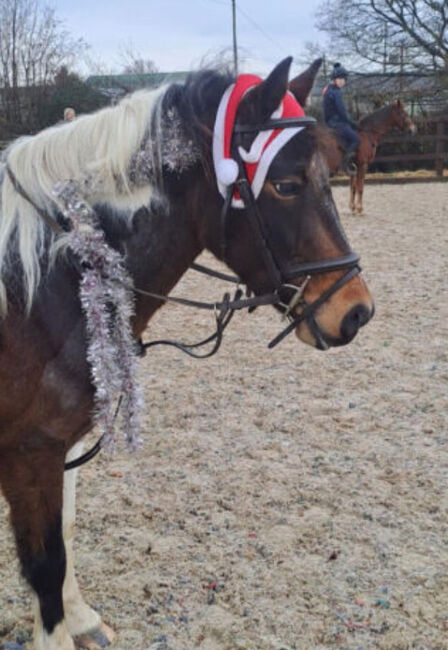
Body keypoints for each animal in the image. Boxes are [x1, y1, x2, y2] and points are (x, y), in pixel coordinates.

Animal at [0, 57, 374, 650]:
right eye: (286, 184)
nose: (356, 311)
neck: (40, 283)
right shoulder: (29, 452)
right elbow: (45, 566)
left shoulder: (56, 444)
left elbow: (66, 533)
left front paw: (80, 617)